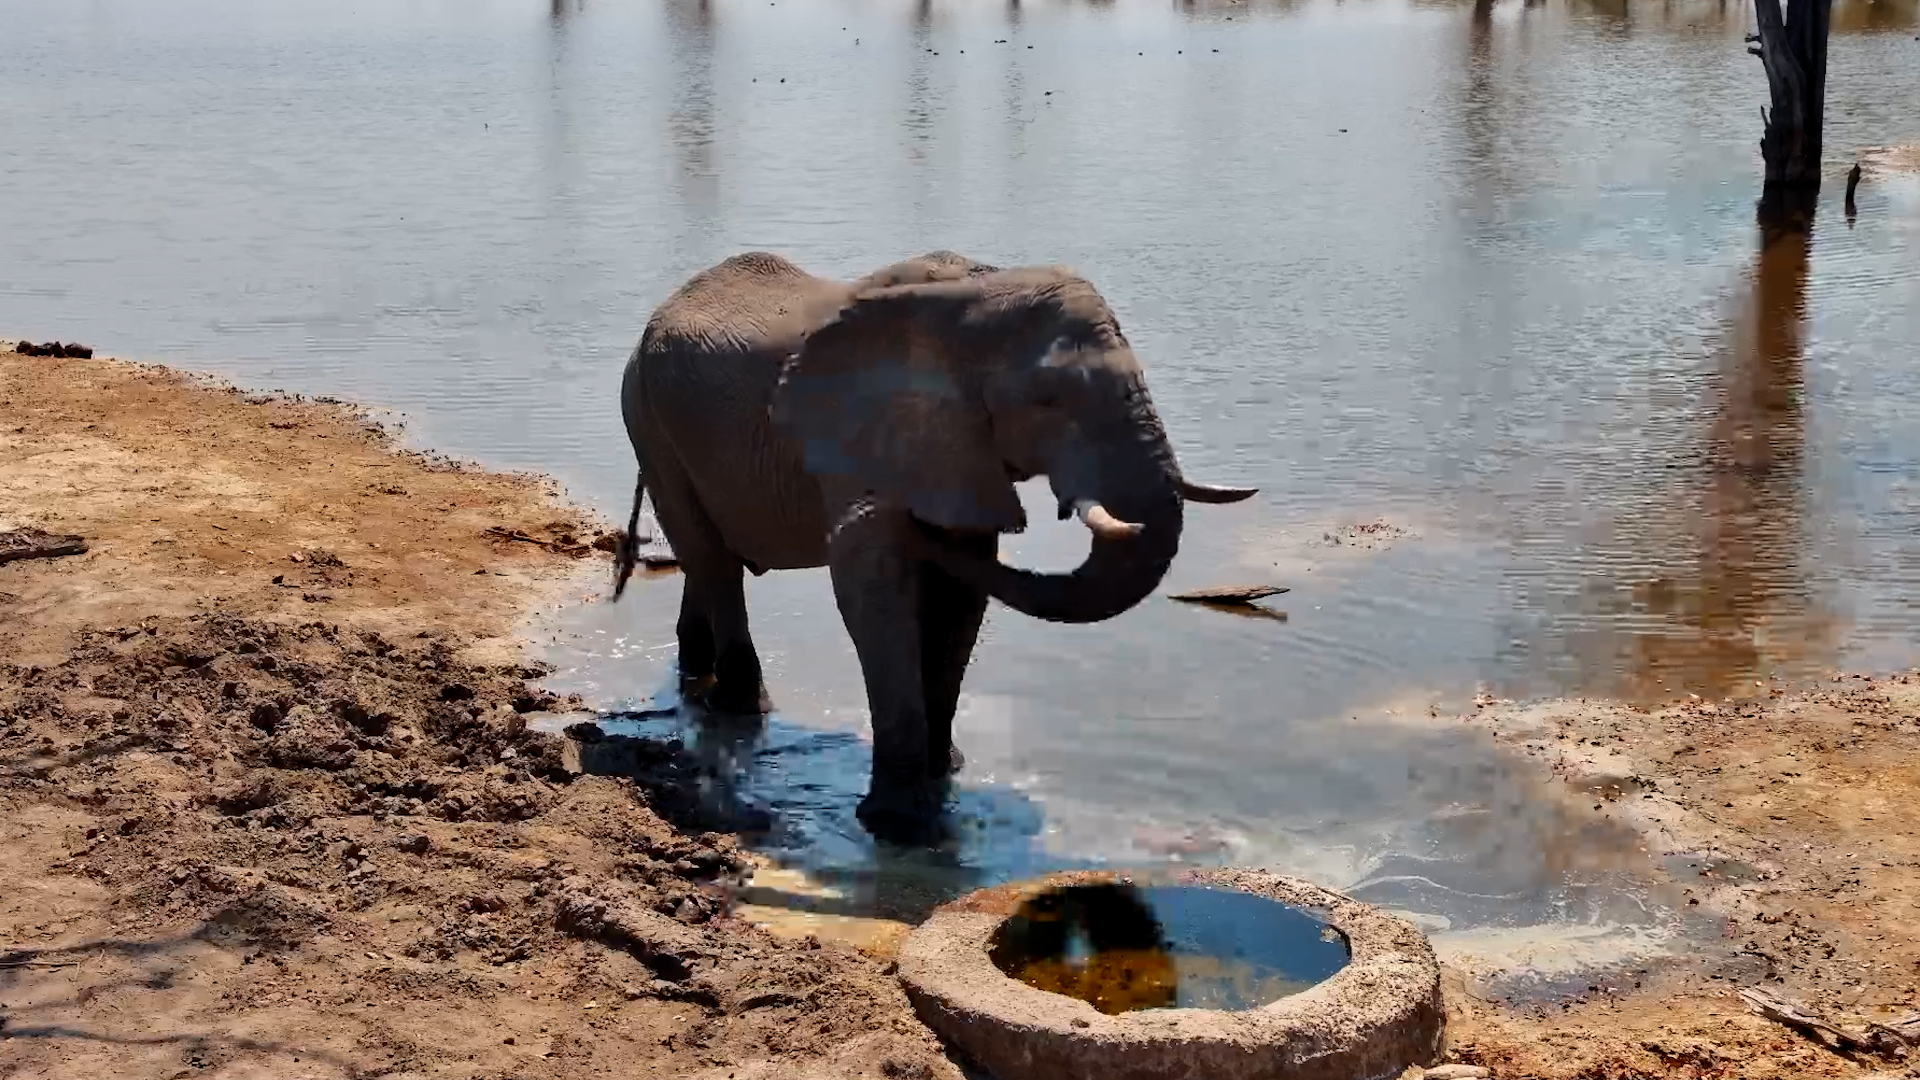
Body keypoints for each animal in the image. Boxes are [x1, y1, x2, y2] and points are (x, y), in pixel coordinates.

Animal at [612, 250, 1254, 842]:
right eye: (1048, 399)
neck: (976, 293)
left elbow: (963, 591)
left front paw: (947, 776)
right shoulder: (867, 440)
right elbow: (869, 581)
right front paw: (901, 827)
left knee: (708, 563)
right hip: (647, 415)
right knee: (713, 560)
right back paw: (743, 708)